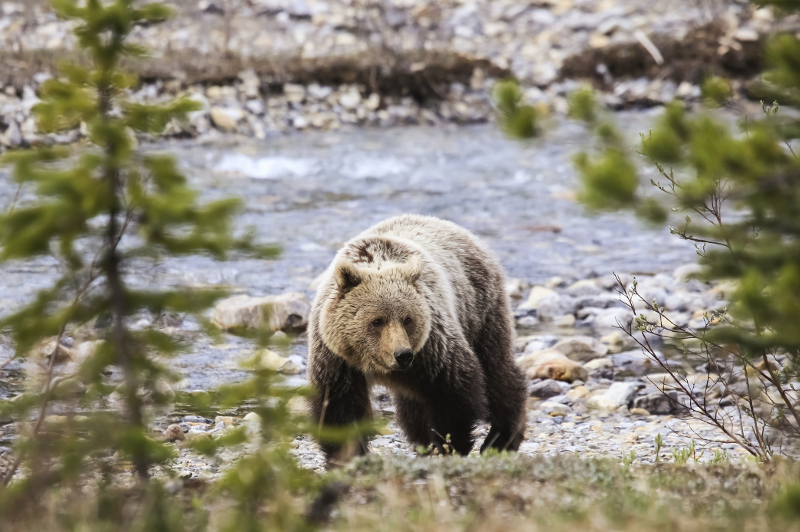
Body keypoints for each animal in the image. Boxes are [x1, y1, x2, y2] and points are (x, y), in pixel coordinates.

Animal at [310, 214, 528, 464]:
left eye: (407, 319)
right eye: (377, 320)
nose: (402, 354)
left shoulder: (432, 347)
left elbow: (454, 390)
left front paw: (448, 446)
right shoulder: (337, 358)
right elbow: (337, 407)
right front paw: (346, 457)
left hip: (479, 308)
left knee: (496, 371)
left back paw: (501, 439)